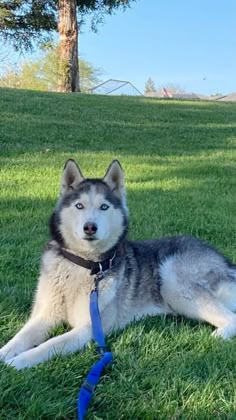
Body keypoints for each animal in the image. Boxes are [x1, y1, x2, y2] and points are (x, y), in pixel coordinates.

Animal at [1, 159, 236, 370]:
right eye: (79, 206)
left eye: (104, 207)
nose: (90, 227)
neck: (84, 265)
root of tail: (223, 260)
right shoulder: (44, 316)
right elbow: (18, 339)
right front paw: (5, 354)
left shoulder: (88, 329)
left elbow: (48, 345)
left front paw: (17, 363)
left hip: (173, 281)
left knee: (231, 317)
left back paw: (217, 335)